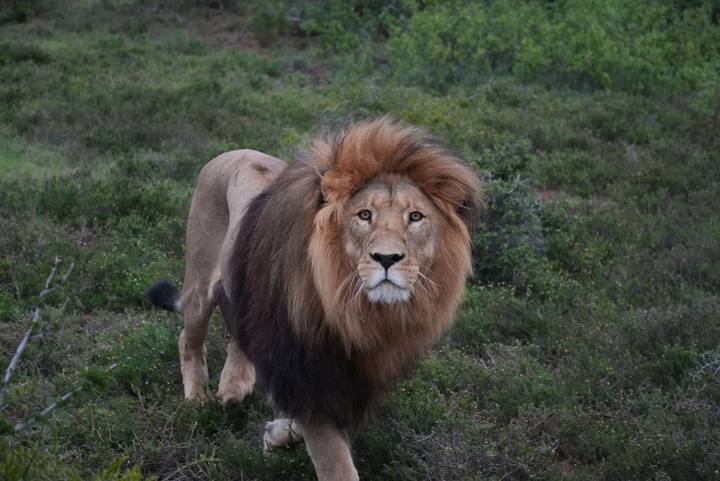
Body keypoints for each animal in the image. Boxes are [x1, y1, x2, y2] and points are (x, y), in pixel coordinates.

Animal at [147, 117, 483, 481]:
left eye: (416, 217)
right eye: (364, 215)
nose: (387, 258)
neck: (353, 311)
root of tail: (233, 151)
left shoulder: (349, 379)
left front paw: (278, 434)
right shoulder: (308, 372)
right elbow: (335, 462)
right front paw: (283, 434)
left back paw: (235, 385)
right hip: (200, 282)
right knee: (188, 337)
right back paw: (198, 397)